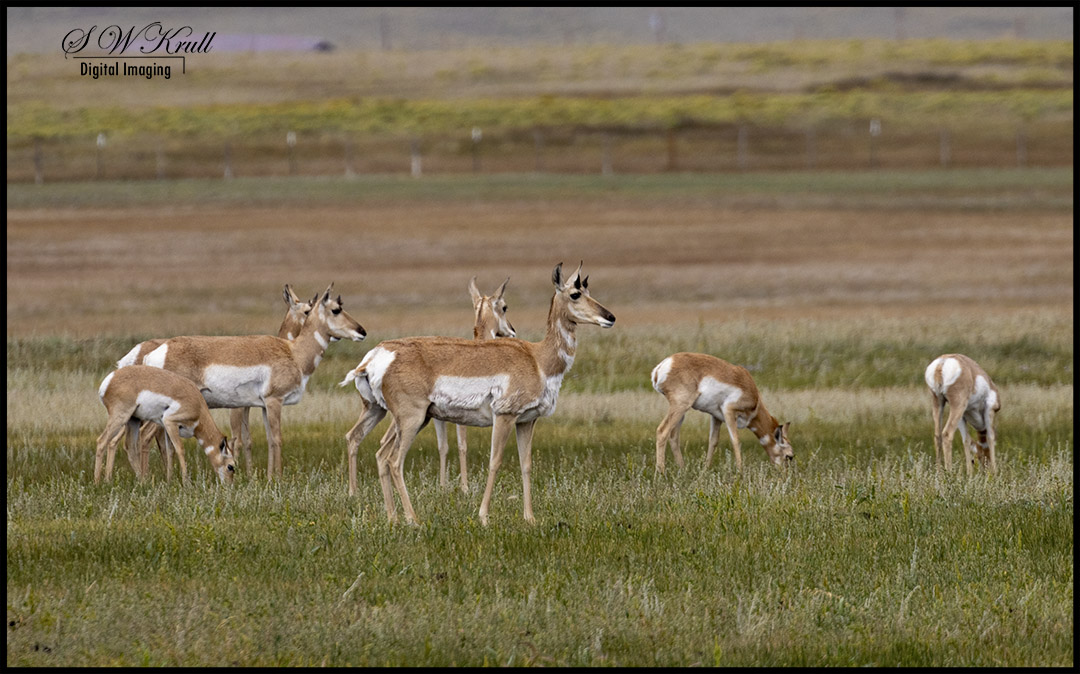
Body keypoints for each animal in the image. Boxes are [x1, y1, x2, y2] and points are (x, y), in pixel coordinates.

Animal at [96, 365, 236, 485]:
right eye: (231, 466)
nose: (229, 486)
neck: (198, 405)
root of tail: (109, 379)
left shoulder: (167, 428)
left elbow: (169, 451)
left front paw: (170, 481)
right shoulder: (170, 422)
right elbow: (180, 449)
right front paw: (186, 482)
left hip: (133, 420)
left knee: (129, 447)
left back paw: (141, 482)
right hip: (121, 417)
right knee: (102, 441)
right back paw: (98, 483)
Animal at [137, 283, 365, 480]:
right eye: (336, 309)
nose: (362, 331)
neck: (293, 352)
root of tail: (156, 352)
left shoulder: (263, 406)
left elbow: (266, 439)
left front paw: (268, 478)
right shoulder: (273, 402)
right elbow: (276, 439)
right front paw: (278, 479)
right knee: (145, 435)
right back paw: (145, 480)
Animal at [377, 276, 516, 493]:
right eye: (504, 306)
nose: (512, 330)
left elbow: (444, 447)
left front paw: (444, 486)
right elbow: (461, 445)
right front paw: (464, 487)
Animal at [651, 352, 794, 473]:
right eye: (789, 456)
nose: (785, 475)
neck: (755, 399)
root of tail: (662, 366)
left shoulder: (716, 417)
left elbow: (713, 441)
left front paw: (705, 470)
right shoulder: (728, 411)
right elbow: (736, 441)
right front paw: (740, 472)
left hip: (681, 411)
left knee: (674, 436)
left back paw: (683, 469)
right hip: (680, 406)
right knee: (662, 431)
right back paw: (661, 473)